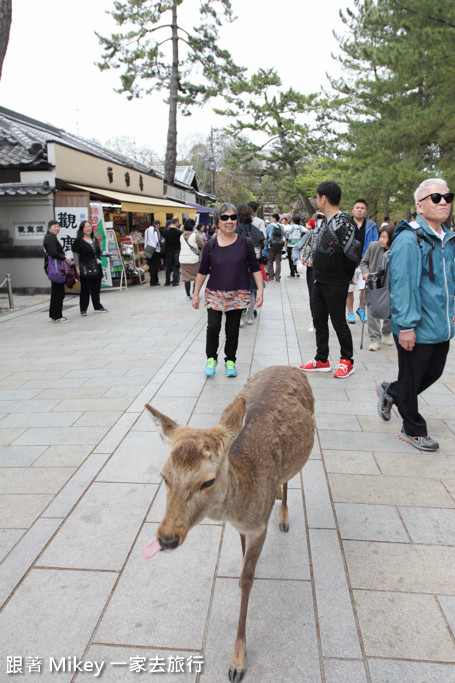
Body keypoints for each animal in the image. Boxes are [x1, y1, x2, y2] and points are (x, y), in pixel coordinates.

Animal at [145, 366, 314, 680]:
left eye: (207, 481)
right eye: (163, 476)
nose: (166, 538)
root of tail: (288, 367)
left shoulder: (259, 526)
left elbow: (245, 581)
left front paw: (237, 661)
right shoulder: (241, 527)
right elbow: (243, 555)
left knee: (289, 478)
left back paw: (283, 514)